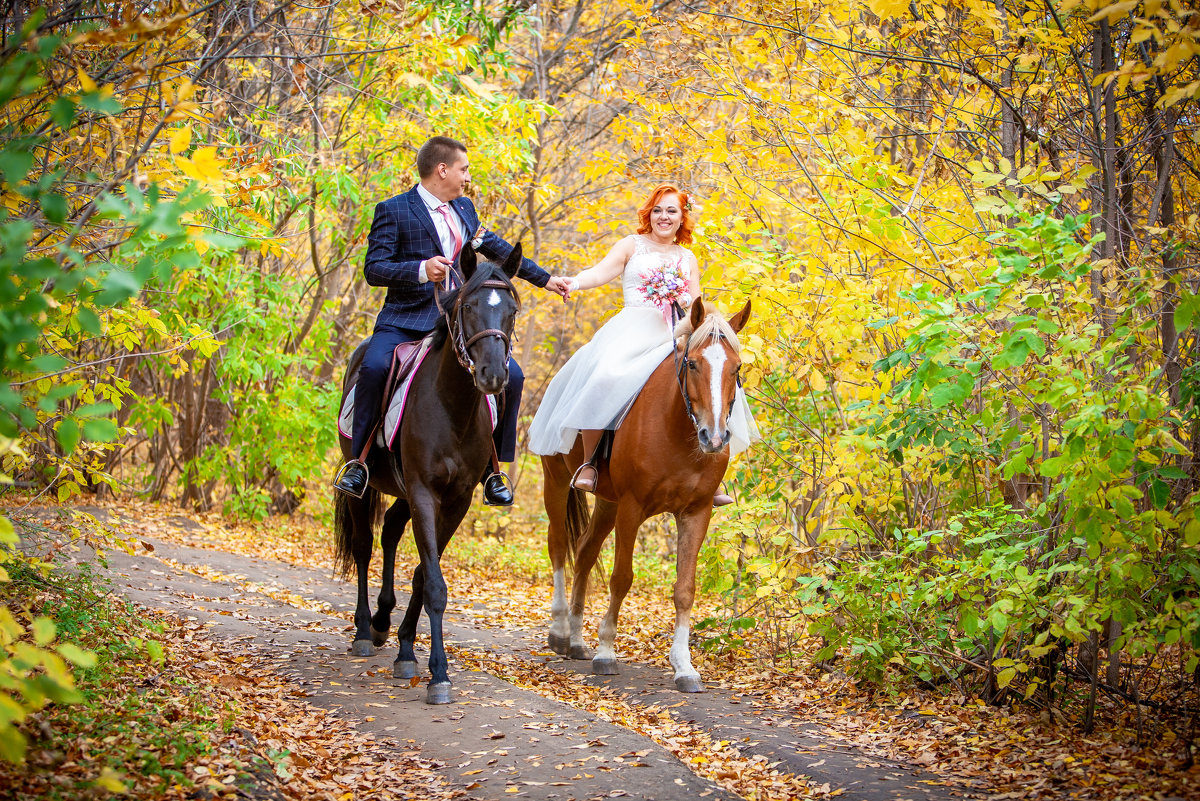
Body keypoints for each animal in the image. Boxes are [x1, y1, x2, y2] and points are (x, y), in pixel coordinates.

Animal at [338, 245, 525, 705]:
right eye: (469, 307)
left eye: (511, 309)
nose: (493, 375)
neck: (452, 407)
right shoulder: (424, 491)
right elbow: (435, 585)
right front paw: (438, 674)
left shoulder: (455, 500)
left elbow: (426, 574)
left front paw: (407, 649)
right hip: (365, 489)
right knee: (364, 545)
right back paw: (365, 629)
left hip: (404, 493)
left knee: (389, 530)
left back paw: (384, 623)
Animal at [542, 297, 748, 690]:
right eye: (692, 363)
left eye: (737, 368)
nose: (714, 438)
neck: (676, 430)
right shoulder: (632, 507)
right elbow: (622, 578)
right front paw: (607, 651)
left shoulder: (696, 512)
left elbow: (685, 589)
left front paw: (684, 666)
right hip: (557, 482)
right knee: (559, 547)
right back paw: (560, 630)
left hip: (606, 502)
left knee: (585, 553)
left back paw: (576, 639)